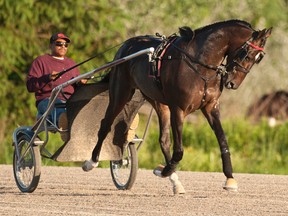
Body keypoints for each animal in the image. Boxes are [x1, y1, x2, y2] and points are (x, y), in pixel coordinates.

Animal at [82, 19, 272, 192]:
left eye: (258, 59)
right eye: (246, 54)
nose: (232, 83)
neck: (199, 64)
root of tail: (126, 46)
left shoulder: (210, 107)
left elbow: (222, 140)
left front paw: (230, 178)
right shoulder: (178, 108)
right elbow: (179, 150)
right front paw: (166, 169)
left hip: (158, 103)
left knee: (164, 140)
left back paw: (174, 180)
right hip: (121, 93)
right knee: (106, 124)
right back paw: (92, 161)